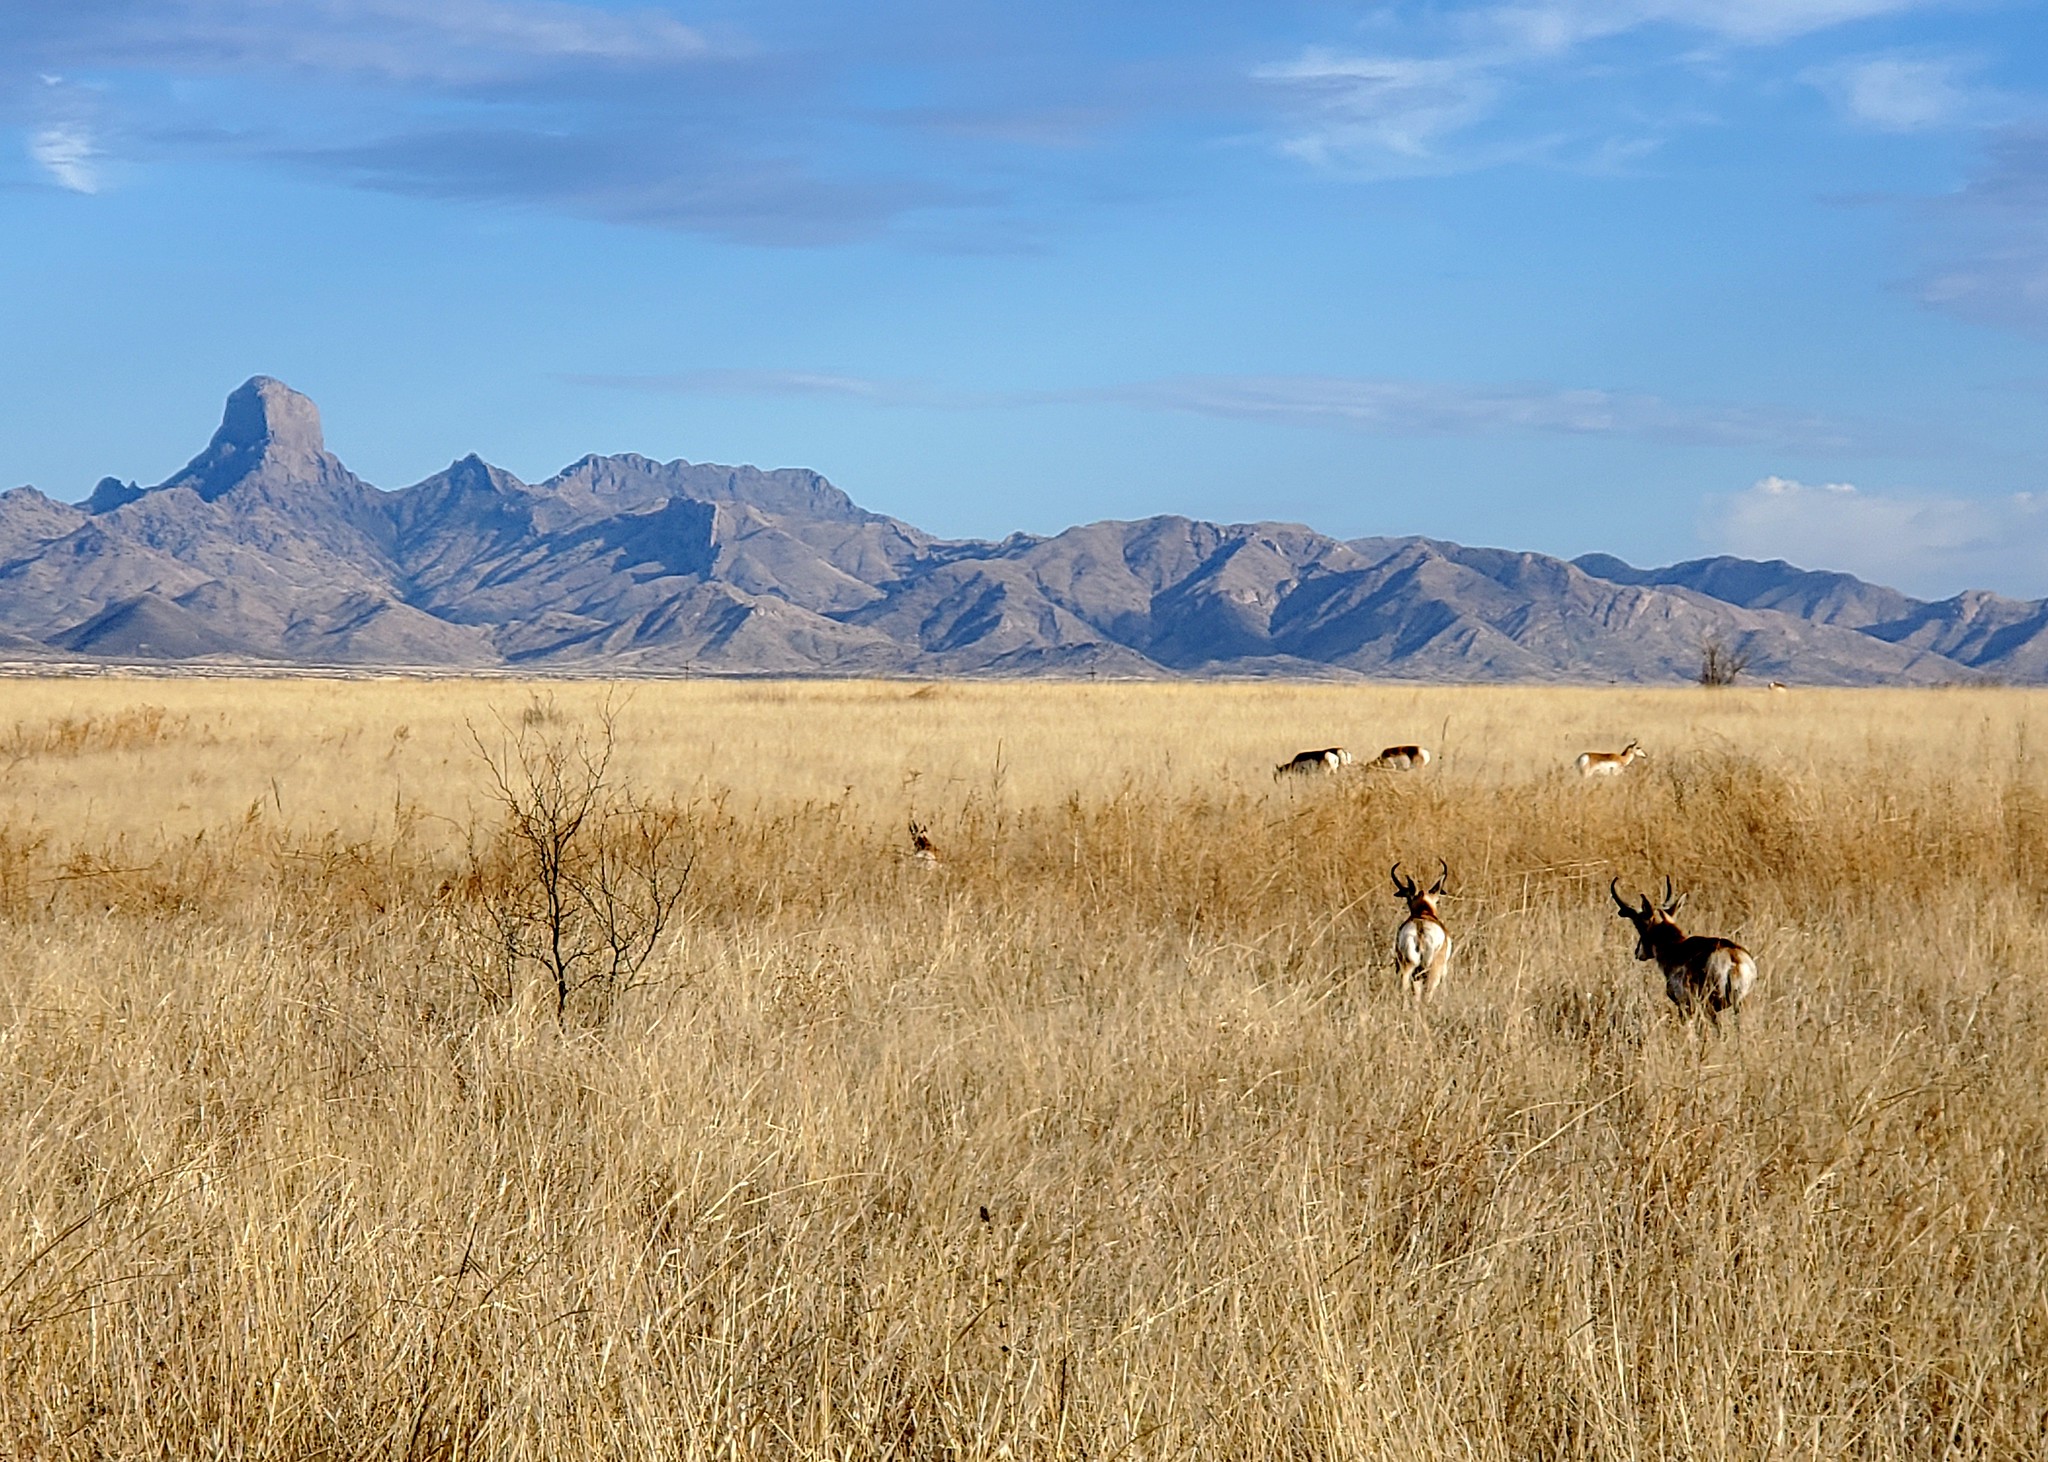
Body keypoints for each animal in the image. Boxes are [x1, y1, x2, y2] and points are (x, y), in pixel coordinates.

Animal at [1605, 876, 1753, 1015]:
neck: (1676, 945)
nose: (1637, 952)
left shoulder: (1684, 1005)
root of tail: (1733, 957)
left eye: (1639, 925)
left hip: (1709, 1005)